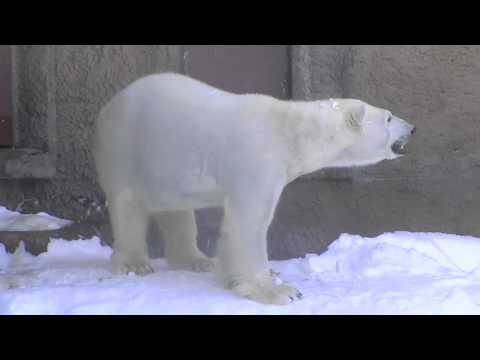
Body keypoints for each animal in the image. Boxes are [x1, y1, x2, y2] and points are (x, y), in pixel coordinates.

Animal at [94, 71, 416, 306]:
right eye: (388, 117)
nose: (413, 128)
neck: (290, 133)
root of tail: (109, 105)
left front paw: (230, 274)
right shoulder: (257, 160)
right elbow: (248, 223)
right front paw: (278, 291)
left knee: (177, 211)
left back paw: (196, 260)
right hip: (127, 145)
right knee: (127, 204)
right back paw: (135, 264)